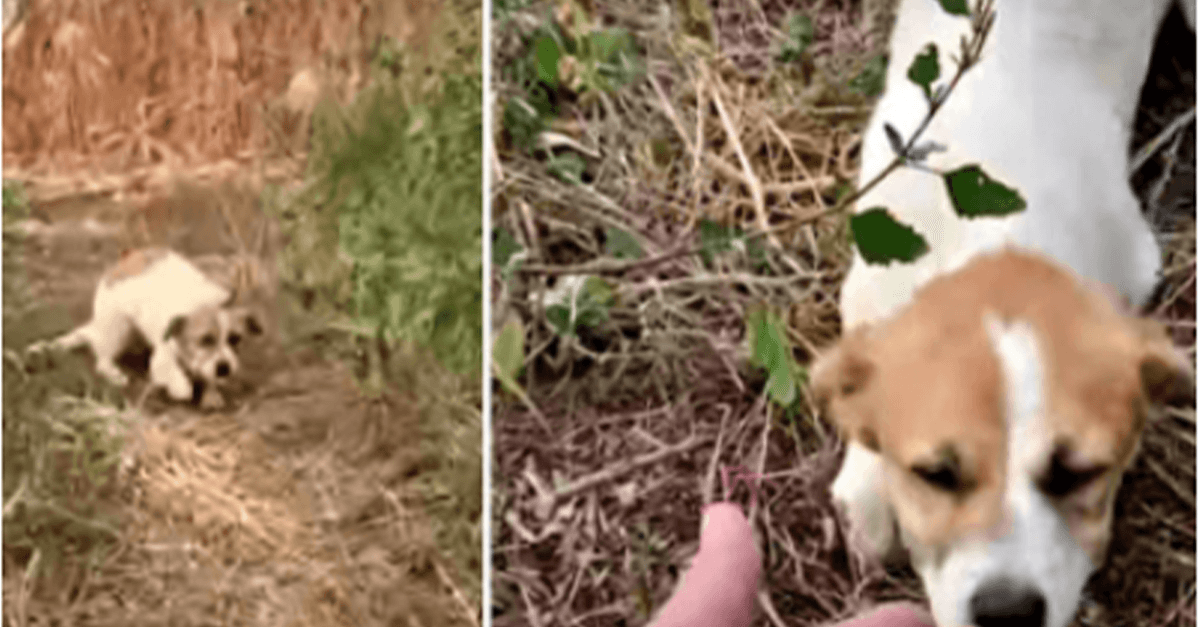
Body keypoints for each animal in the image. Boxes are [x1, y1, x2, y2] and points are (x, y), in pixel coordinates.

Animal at [39, 246, 265, 413]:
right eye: (205, 340)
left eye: (235, 339)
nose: (224, 368)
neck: (201, 304)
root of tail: (125, 260)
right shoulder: (162, 358)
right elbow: (173, 375)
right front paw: (181, 387)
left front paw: (211, 393)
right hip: (118, 329)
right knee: (102, 360)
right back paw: (113, 373)